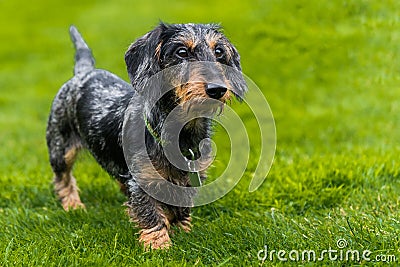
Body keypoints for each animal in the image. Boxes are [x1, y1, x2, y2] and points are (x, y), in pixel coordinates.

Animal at [47, 22, 247, 249]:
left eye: (219, 52)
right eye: (181, 52)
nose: (217, 89)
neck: (181, 134)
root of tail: (84, 72)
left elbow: (180, 208)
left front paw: (183, 231)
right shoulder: (143, 181)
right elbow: (151, 214)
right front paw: (158, 246)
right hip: (60, 149)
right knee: (63, 179)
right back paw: (73, 205)